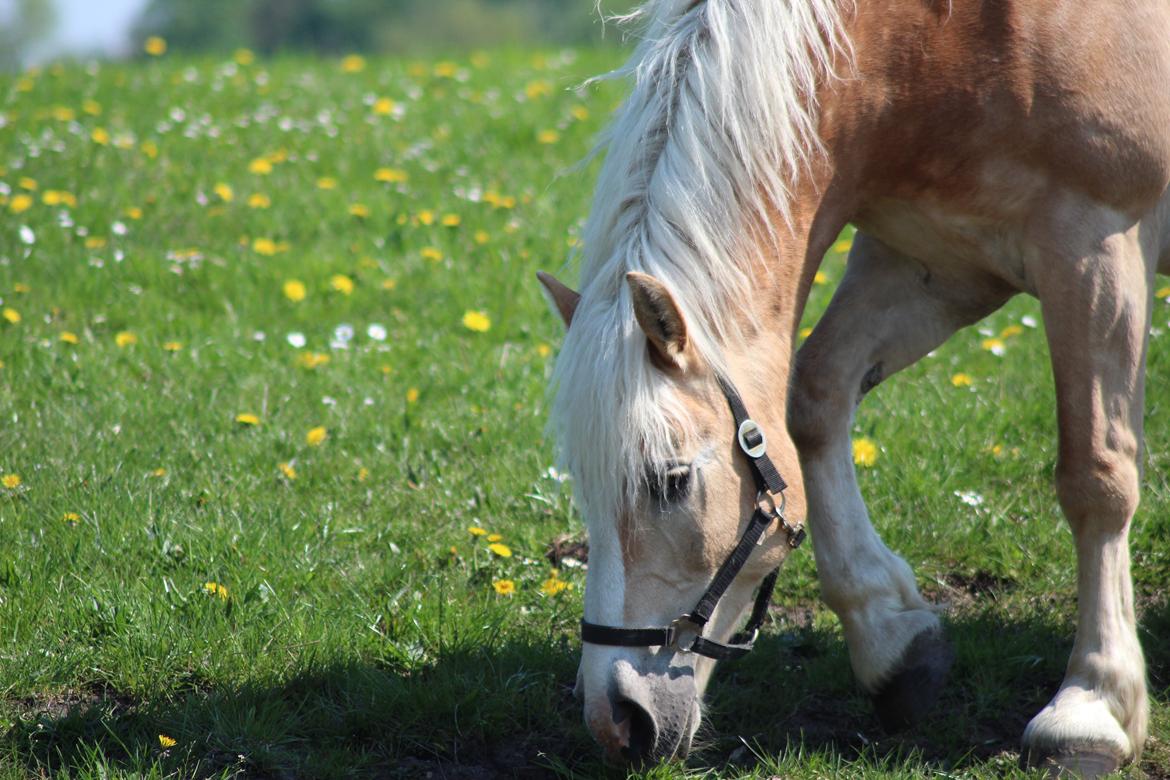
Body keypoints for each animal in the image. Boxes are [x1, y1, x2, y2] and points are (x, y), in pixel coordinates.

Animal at [538, 0, 1170, 771]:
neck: (945, 41)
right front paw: (890, 638)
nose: (616, 722)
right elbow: (815, 396)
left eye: (670, 480)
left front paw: (1092, 705)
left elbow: (1096, 477)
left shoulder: (1096, 241)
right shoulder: (938, 260)